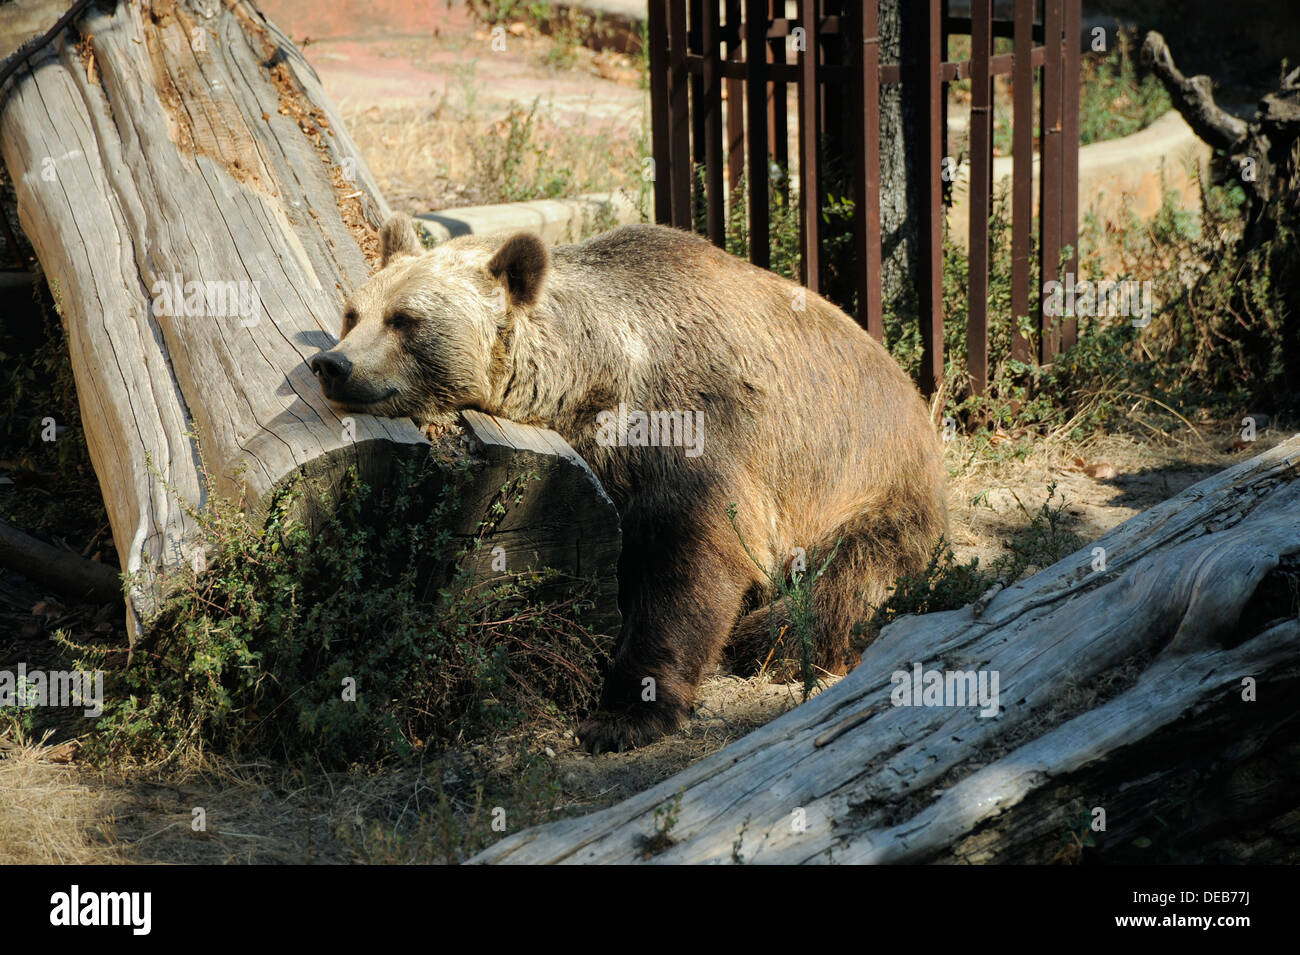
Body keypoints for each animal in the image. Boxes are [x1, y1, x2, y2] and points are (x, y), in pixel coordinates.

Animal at [310, 214, 951, 753]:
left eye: (406, 320)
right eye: (353, 313)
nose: (333, 365)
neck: (596, 379)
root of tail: (912, 394)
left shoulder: (697, 428)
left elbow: (694, 562)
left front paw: (623, 715)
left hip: (870, 487)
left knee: (841, 577)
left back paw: (767, 640)